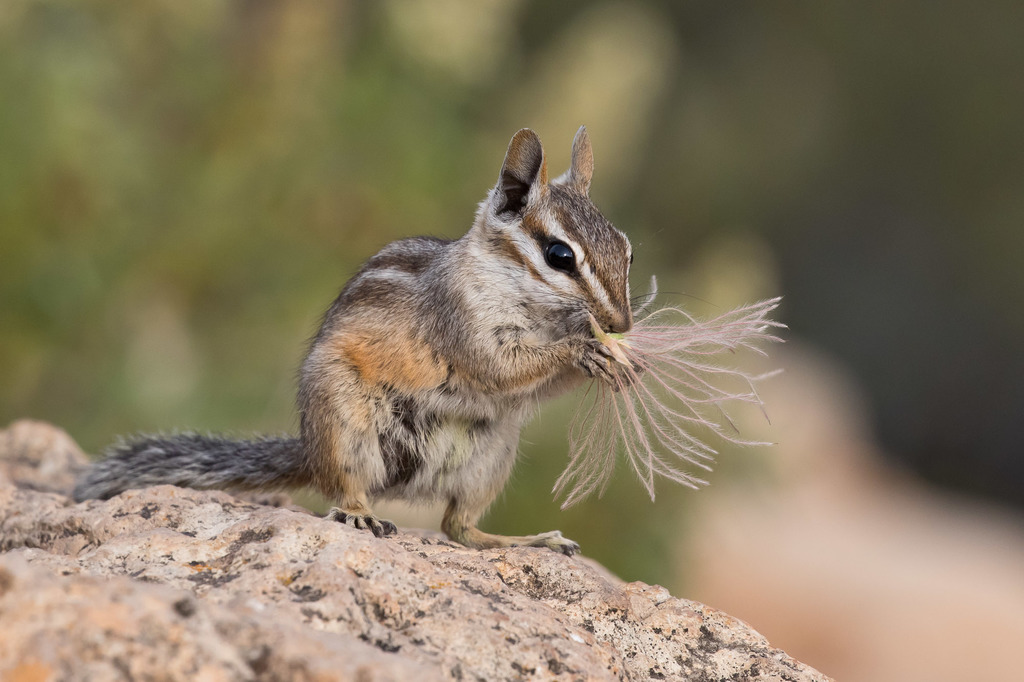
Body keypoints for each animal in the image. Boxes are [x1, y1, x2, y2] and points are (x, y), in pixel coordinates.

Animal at [74, 127, 634, 556]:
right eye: (560, 255)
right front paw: (584, 348)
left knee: (458, 527)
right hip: (344, 421)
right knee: (347, 489)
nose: (621, 323)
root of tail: (309, 450)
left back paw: (527, 541)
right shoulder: (461, 322)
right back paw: (360, 514)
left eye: (627, 250)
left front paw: (621, 359)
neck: (533, 307)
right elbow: (499, 367)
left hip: (491, 455)